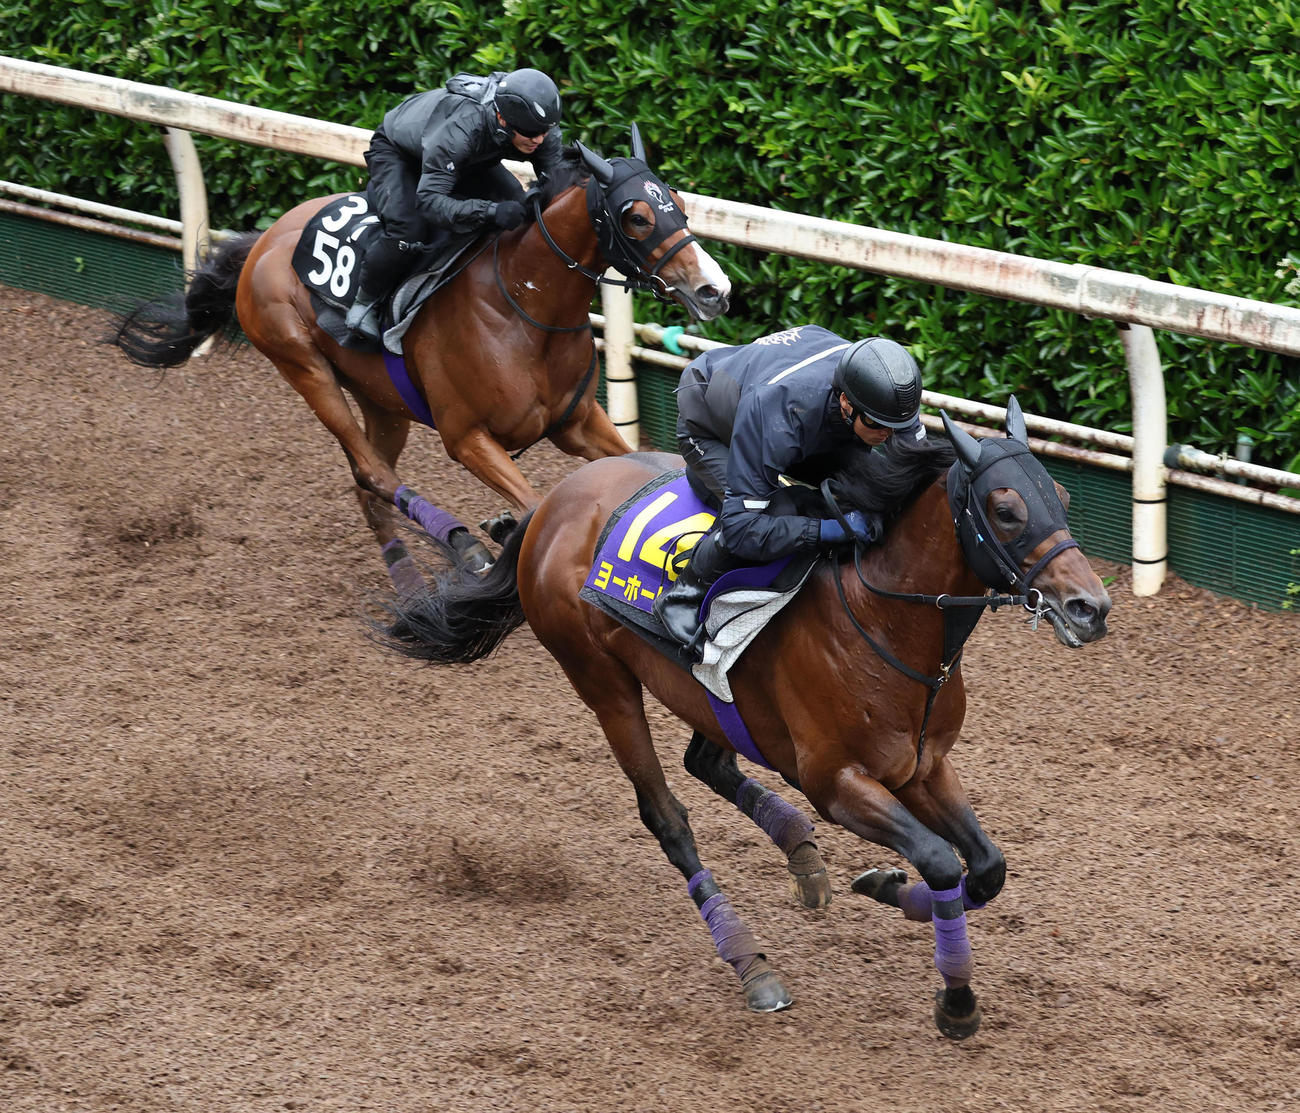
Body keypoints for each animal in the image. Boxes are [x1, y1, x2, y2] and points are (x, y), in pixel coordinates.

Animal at [111, 126, 730, 581]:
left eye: (678, 203)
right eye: (637, 216)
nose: (714, 289)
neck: (522, 307)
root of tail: (264, 239)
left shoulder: (576, 421)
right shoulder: (467, 437)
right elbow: (533, 504)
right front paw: (501, 530)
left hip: (383, 400)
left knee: (369, 483)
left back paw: (407, 579)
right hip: (302, 364)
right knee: (370, 469)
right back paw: (463, 547)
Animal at [373, 399, 1112, 1038]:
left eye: (1064, 496)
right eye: (1006, 509)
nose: (1090, 606)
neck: (881, 621)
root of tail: (553, 502)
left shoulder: (923, 766)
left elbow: (985, 866)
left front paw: (884, 885)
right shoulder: (836, 781)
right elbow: (938, 859)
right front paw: (955, 1000)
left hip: (712, 697)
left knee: (707, 760)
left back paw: (801, 852)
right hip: (603, 682)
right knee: (667, 816)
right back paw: (752, 964)